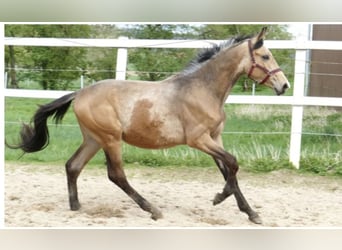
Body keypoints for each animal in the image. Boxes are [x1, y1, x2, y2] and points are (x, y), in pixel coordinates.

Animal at [7, 27, 288, 225]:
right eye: (265, 56)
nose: (284, 85)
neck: (202, 90)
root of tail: (79, 93)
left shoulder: (215, 138)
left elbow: (229, 169)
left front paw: (251, 213)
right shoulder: (199, 140)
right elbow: (233, 163)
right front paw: (219, 198)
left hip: (94, 139)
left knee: (73, 166)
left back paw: (76, 206)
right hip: (110, 139)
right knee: (116, 175)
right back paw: (152, 210)